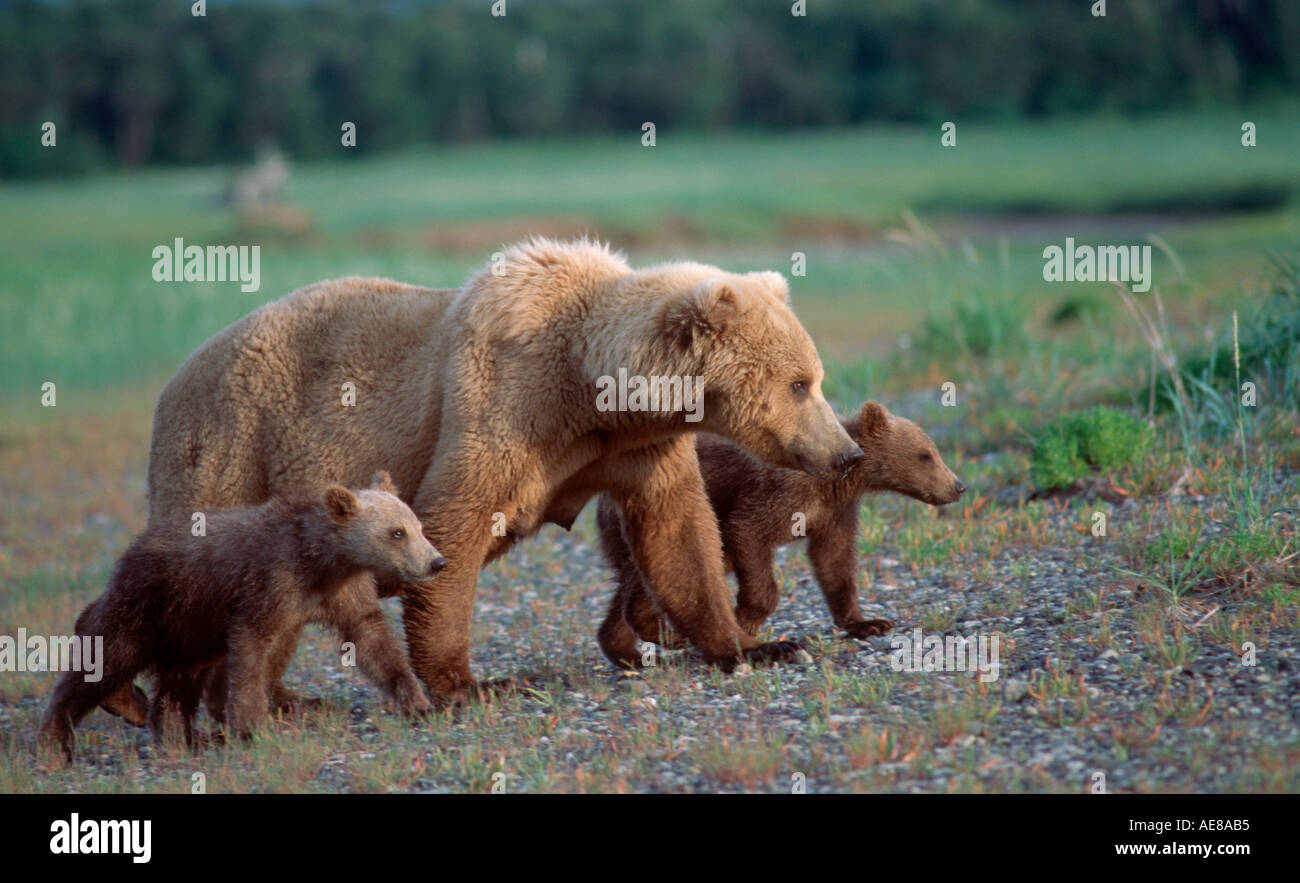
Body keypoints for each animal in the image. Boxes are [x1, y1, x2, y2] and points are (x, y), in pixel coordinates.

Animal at [39, 472, 440, 762]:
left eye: (418, 526)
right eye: (397, 532)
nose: (436, 562)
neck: (320, 561)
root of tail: (133, 547)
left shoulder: (344, 591)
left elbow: (372, 639)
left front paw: (417, 702)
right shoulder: (269, 583)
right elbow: (251, 649)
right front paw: (252, 728)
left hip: (191, 628)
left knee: (180, 680)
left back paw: (183, 736)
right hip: (151, 604)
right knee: (107, 656)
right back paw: (58, 740)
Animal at [99, 237, 864, 718]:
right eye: (800, 383)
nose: (848, 451)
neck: (592, 389)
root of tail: (170, 383)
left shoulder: (636, 448)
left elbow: (677, 535)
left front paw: (756, 643)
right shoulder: (502, 404)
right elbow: (452, 523)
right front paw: (470, 683)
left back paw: (283, 698)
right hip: (227, 450)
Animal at [595, 401, 966, 667]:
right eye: (925, 455)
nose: (958, 486)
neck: (836, 482)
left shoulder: (835, 511)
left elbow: (835, 560)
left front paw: (868, 622)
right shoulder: (777, 492)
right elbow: (750, 533)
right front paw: (746, 617)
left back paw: (628, 652)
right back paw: (670, 636)